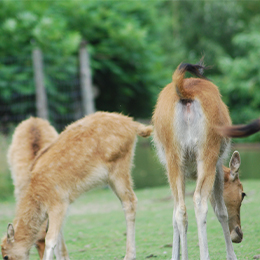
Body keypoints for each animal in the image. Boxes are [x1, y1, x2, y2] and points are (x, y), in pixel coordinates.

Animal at [0, 112, 152, 260]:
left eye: (5, 256)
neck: (38, 196)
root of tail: (132, 124)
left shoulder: (59, 202)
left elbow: (51, 239)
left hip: (119, 168)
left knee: (130, 202)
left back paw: (129, 255)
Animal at [152, 62, 244, 258]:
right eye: (242, 193)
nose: (239, 234)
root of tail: (185, 90)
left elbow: (173, 213)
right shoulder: (218, 163)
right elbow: (221, 211)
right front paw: (231, 256)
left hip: (174, 156)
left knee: (180, 210)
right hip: (207, 151)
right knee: (200, 201)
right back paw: (205, 255)